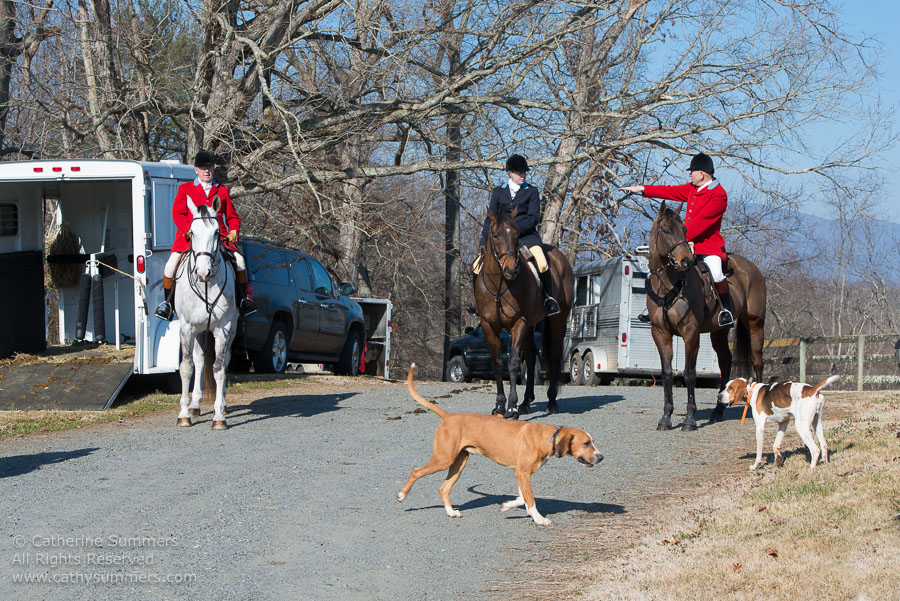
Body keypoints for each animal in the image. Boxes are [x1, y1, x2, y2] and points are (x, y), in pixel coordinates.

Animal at [173, 196, 237, 426]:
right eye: (192, 232)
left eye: (217, 232)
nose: (203, 272)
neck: (207, 285)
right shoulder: (186, 328)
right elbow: (186, 367)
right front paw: (183, 414)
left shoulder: (223, 329)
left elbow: (219, 368)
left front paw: (218, 416)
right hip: (199, 331)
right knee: (199, 361)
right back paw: (195, 405)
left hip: (231, 329)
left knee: (224, 360)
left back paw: (222, 404)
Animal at [396, 364, 600, 524]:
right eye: (586, 443)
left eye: (592, 442)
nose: (601, 457)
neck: (548, 436)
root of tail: (448, 416)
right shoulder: (523, 473)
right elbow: (530, 499)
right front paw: (539, 519)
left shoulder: (521, 473)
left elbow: (522, 497)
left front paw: (507, 506)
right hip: (443, 459)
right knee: (417, 471)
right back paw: (401, 495)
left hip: (458, 463)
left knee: (443, 488)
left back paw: (451, 512)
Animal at [474, 209, 572, 420]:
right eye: (495, 235)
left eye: (517, 236)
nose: (511, 270)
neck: (500, 284)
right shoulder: (488, 325)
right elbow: (497, 363)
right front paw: (499, 406)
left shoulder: (519, 322)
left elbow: (513, 363)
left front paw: (511, 408)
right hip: (530, 325)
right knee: (532, 355)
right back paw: (526, 402)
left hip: (557, 320)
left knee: (553, 354)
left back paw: (551, 403)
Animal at [648, 204, 768, 428]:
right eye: (666, 230)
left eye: (684, 230)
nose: (686, 260)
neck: (668, 284)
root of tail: (751, 267)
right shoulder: (660, 333)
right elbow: (667, 374)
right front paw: (666, 418)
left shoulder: (690, 332)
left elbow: (689, 373)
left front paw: (689, 419)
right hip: (718, 331)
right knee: (725, 361)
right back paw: (718, 411)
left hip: (755, 323)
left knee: (757, 360)